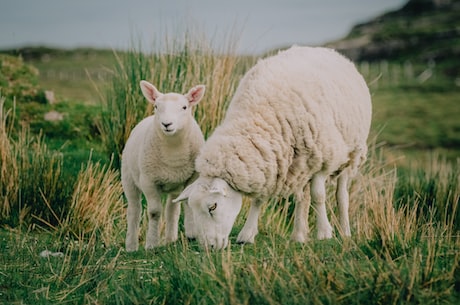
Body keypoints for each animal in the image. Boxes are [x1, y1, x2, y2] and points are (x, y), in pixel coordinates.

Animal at [124, 79, 207, 251]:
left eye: (184, 107)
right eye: (156, 106)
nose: (166, 124)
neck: (173, 150)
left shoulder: (193, 178)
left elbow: (187, 203)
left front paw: (192, 234)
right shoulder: (148, 181)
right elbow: (154, 212)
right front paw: (151, 243)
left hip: (175, 186)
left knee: (172, 209)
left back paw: (170, 239)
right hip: (128, 178)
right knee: (134, 210)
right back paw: (131, 246)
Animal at [174, 45, 372, 249]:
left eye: (212, 206)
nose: (209, 247)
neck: (257, 115)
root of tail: (328, 51)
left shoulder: (324, 157)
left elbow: (319, 195)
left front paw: (324, 232)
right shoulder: (269, 161)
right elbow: (259, 200)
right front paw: (247, 233)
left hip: (351, 155)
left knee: (342, 196)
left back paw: (345, 231)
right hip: (302, 164)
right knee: (302, 197)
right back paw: (298, 234)